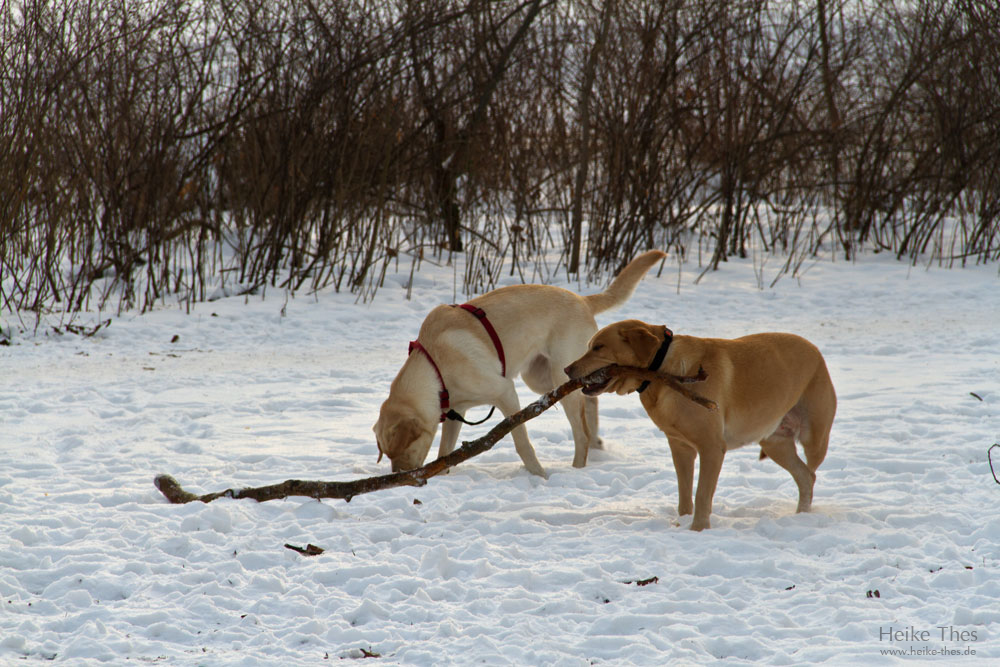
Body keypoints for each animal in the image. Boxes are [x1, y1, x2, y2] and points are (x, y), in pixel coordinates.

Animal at [374, 250, 664, 474]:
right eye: (386, 454)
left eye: (402, 449)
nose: (398, 476)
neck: (435, 366)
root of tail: (581, 299)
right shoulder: (458, 411)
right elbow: (445, 452)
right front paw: (441, 475)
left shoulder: (505, 392)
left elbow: (521, 442)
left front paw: (538, 475)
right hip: (540, 378)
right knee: (591, 400)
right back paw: (596, 443)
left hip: (560, 376)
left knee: (580, 428)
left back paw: (579, 466)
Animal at [564, 320, 836, 528]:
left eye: (598, 347)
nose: (566, 369)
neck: (663, 370)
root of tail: (816, 350)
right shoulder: (680, 447)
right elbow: (685, 493)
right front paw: (683, 522)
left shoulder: (712, 448)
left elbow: (702, 493)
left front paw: (698, 529)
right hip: (775, 442)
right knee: (805, 476)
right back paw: (801, 515)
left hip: (814, 437)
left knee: (811, 471)